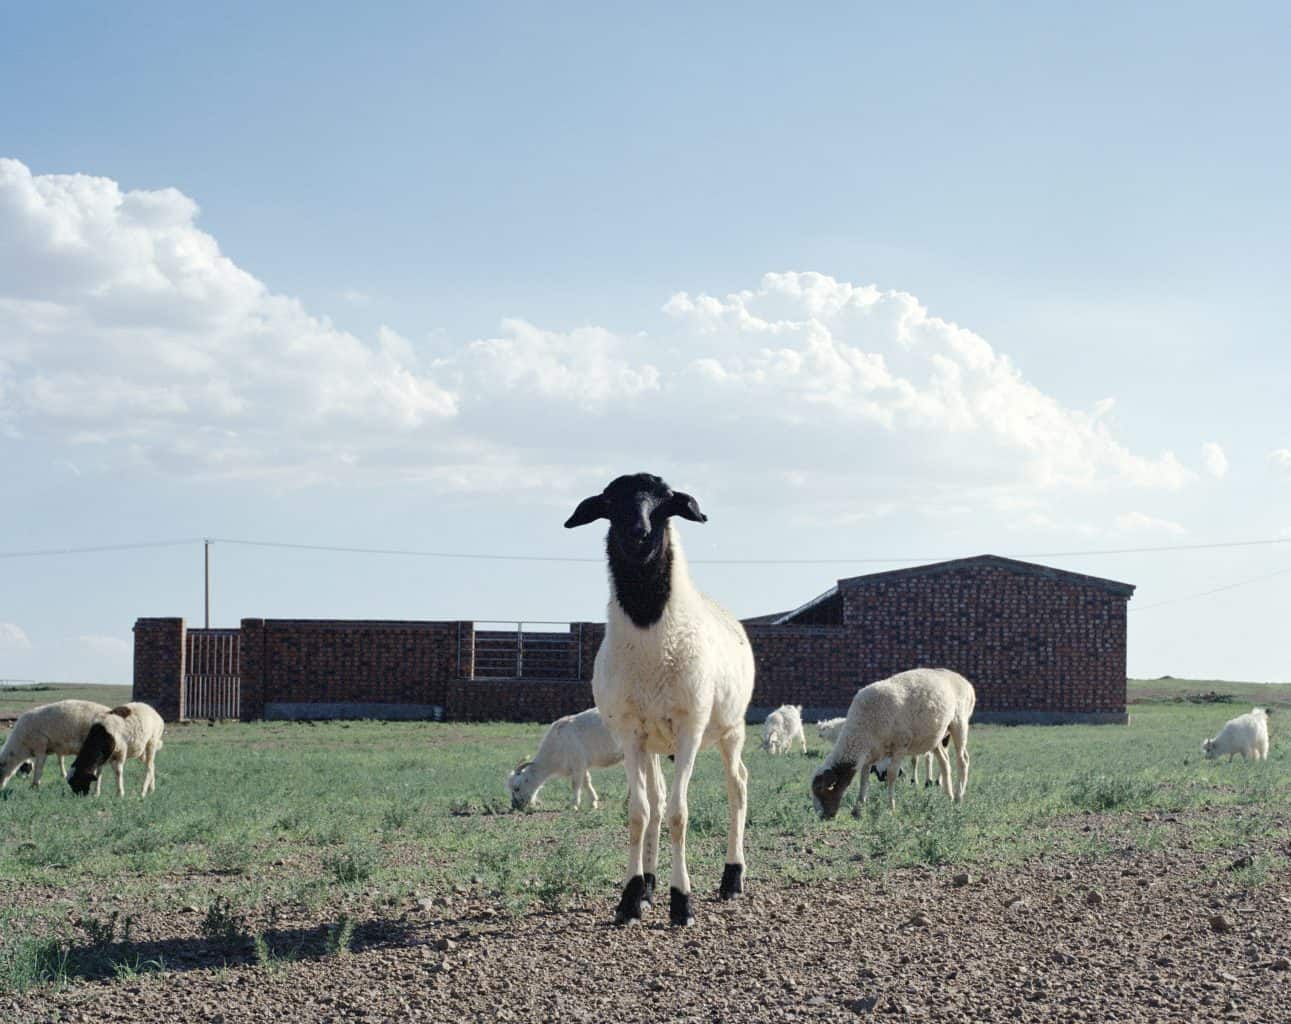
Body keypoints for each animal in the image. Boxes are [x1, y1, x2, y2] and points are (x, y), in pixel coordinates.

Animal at [565, 472, 753, 924]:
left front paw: (681, 902)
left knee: (737, 786)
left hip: (731, 728)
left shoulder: (689, 727)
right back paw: (649, 884)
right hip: (652, 740)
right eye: (610, 503)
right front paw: (631, 898)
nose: (639, 532)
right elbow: (640, 813)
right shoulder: (630, 731)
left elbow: (679, 815)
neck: (650, 634)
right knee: (656, 798)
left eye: (667, 503)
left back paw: (732, 878)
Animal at [810, 666, 970, 821]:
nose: (823, 817)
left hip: (959, 723)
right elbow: (864, 778)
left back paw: (958, 797)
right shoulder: (872, 752)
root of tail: (963, 680)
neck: (862, 729)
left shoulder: (900, 746)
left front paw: (890, 808)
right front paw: (858, 809)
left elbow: (892, 775)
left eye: (821, 791)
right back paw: (948, 797)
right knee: (945, 762)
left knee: (962, 760)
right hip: (937, 737)